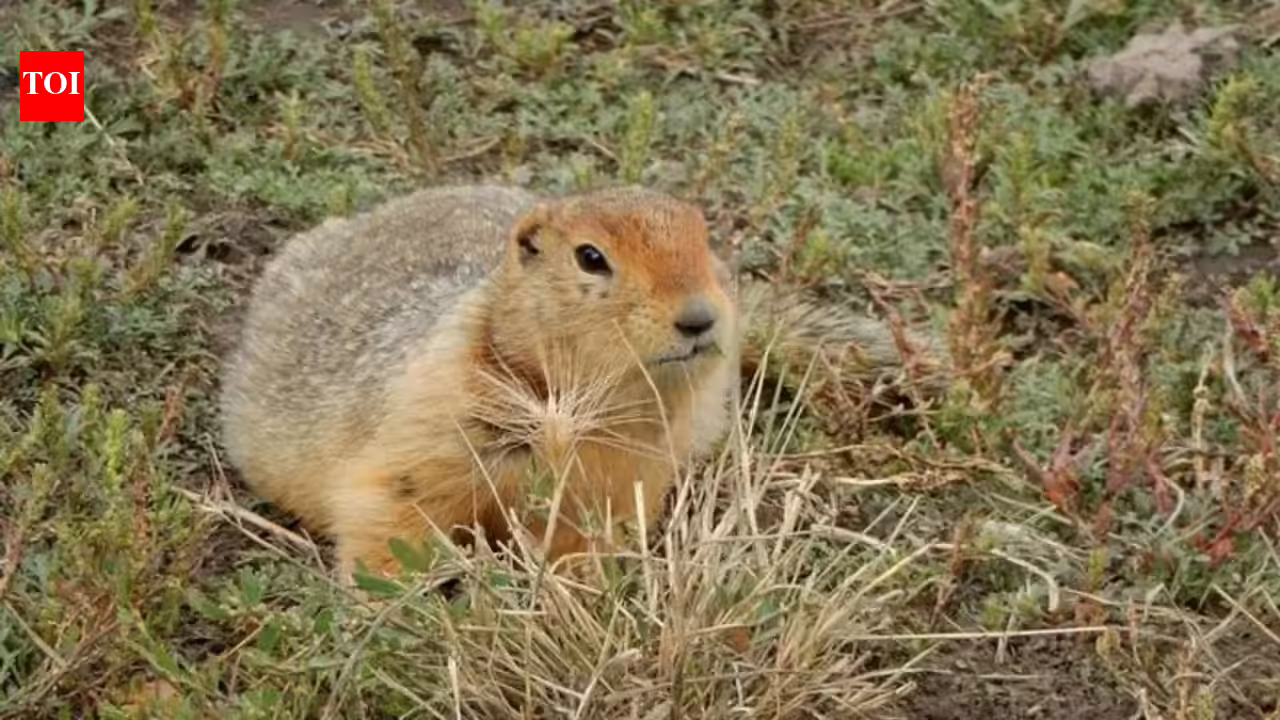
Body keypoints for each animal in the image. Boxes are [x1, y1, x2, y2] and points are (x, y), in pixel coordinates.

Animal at [218, 184, 948, 579]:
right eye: (591, 257)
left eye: (704, 237)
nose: (701, 316)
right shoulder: (430, 423)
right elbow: (392, 510)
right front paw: (395, 600)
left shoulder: (627, 475)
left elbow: (588, 536)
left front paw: (582, 586)